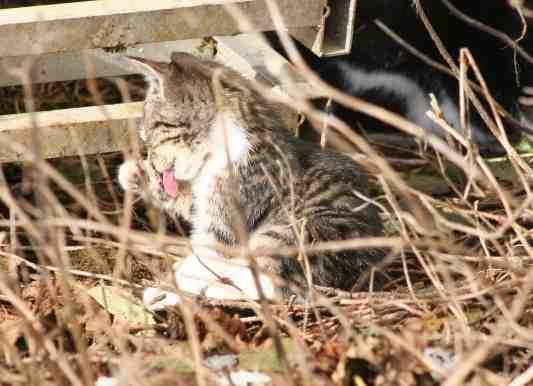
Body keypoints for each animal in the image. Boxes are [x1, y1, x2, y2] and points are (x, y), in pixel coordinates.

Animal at [119, 52, 382, 304]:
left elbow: (204, 260)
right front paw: (135, 173)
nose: (152, 160)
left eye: (152, 133)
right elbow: (186, 202)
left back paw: (208, 290)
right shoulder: (203, 205)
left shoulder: (227, 226)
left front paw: (169, 289)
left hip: (294, 234)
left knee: (272, 287)